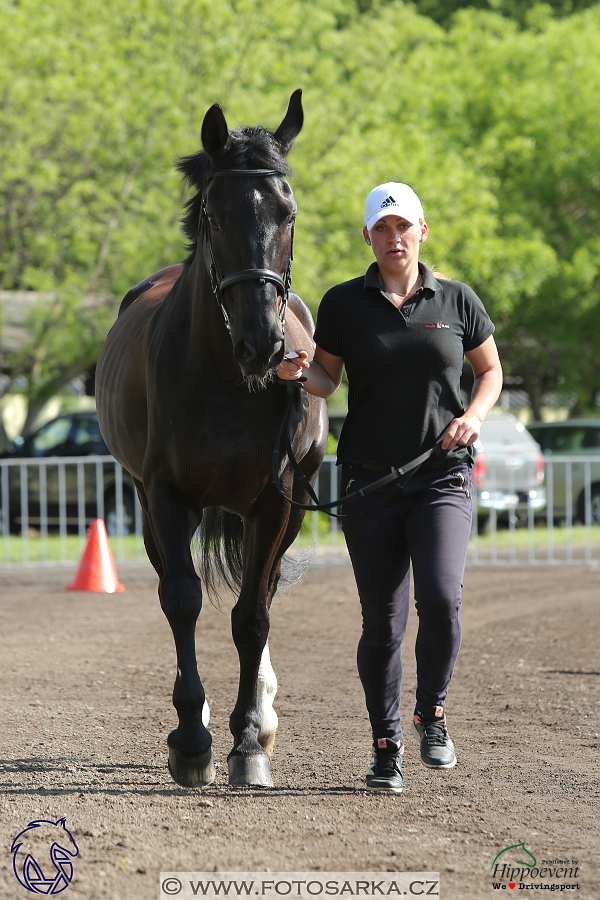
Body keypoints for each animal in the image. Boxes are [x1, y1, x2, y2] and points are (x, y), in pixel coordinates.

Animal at [95, 88, 326, 784]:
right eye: (215, 217)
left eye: (288, 213)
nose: (264, 344)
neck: (229, 381)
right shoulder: (167, 497)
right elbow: (181, 601)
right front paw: (192, 739)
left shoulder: (276, 500)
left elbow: (252, 615)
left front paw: (248, 740)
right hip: (149, 505)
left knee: (264, 589)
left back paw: (264, 711)